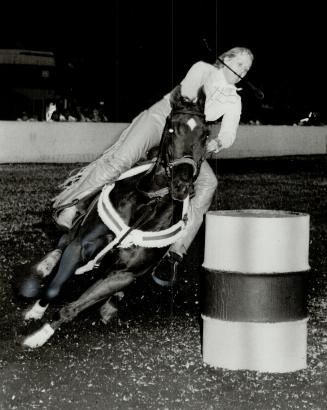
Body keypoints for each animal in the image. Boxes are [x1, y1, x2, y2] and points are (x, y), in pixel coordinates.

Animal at [21, 85, 209, 348]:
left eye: (206, 135)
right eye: (172, 128)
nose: (182, 185)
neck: (145, 204)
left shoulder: (123, 274)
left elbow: (73, 308)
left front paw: (40, 335)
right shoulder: (80, 246)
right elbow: (54, 289)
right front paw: (35, 316)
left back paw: (109, 307)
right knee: (61, 243)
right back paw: (46, 264)